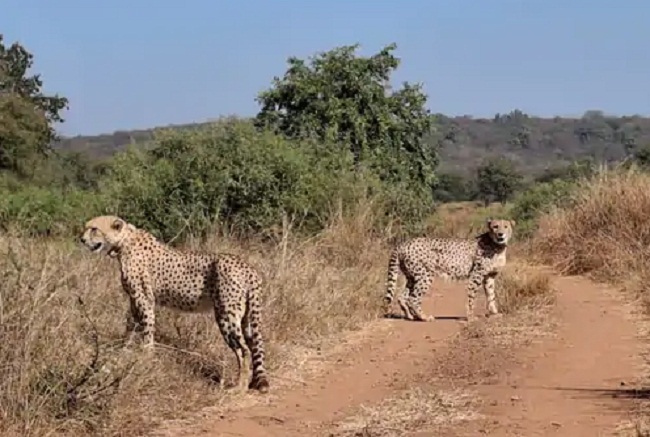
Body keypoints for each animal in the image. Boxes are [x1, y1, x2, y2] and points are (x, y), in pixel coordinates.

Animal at [80, 214, 268, 392]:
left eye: (94, 229)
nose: (81, 239)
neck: (124, 241)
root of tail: (248, 267)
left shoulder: (144, 299)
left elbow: (147, 330)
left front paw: (146, 358)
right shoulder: (133, 300)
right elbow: (131, 326)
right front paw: (125, 349)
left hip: (226, 314)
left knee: (243, 350)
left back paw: (240, 387)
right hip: (245, 317)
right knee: (253, 346)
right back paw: (252, 383)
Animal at [382, 220, 512, 322]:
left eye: (506, 226)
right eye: (495, 226)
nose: (500, 234)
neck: (497, 245)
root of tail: (404, 243)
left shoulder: (490, 276)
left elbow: (491, 295)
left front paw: (495, 313)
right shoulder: (476, 275)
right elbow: (471, 297)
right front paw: (471, 317)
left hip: (412, 276)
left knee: (402, 296)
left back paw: (411, 316)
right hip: (425, 275)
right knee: (413, 298)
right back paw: (424, 317)